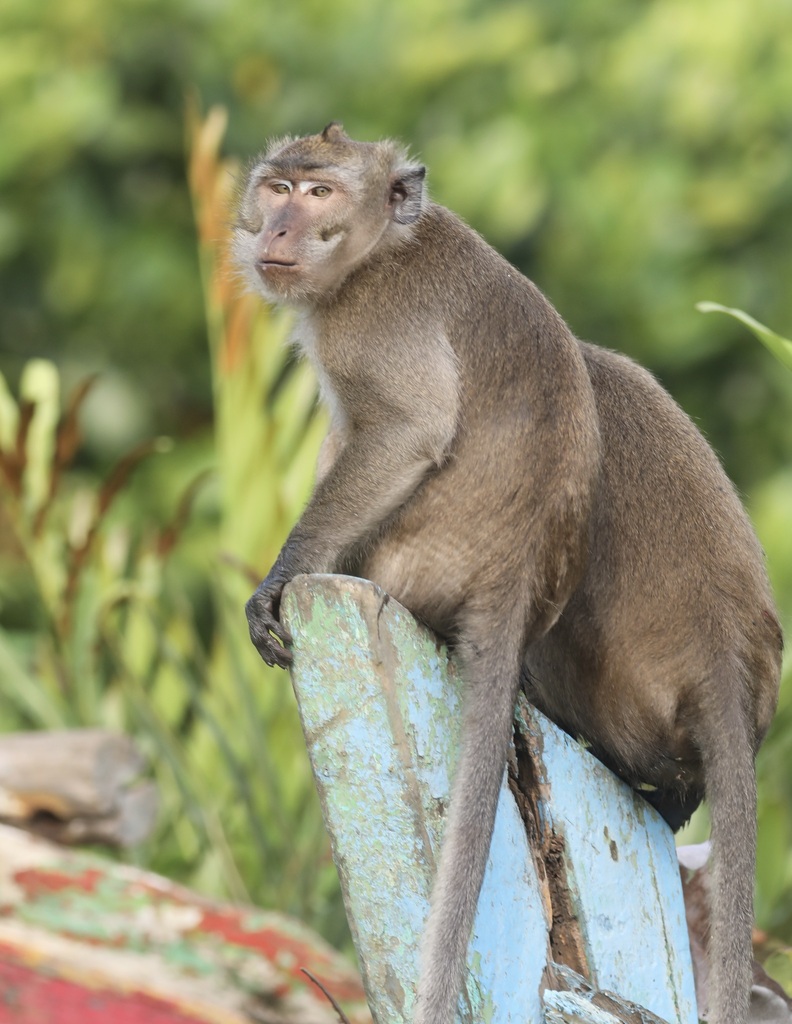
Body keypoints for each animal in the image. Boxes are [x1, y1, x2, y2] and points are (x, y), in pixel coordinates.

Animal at [233, 123, 782, 1024]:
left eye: (317, 195)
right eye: (277, 186)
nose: (275, 227)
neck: (387, 243)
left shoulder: (367, 321)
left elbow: (406, 431)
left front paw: (279, 581)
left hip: (412, 566)